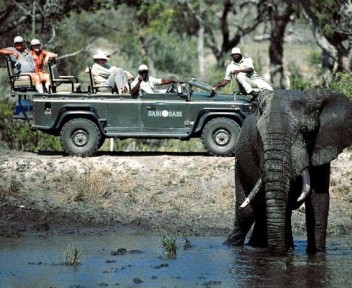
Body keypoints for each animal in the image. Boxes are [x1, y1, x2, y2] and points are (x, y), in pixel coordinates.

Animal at [226, 88, 352, 254]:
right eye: (259, 135)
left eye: (304, 131)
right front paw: (287, 253)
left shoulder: (322, 145)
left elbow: (319, 198)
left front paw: (317, 254)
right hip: (240, 161)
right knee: (246, 214)